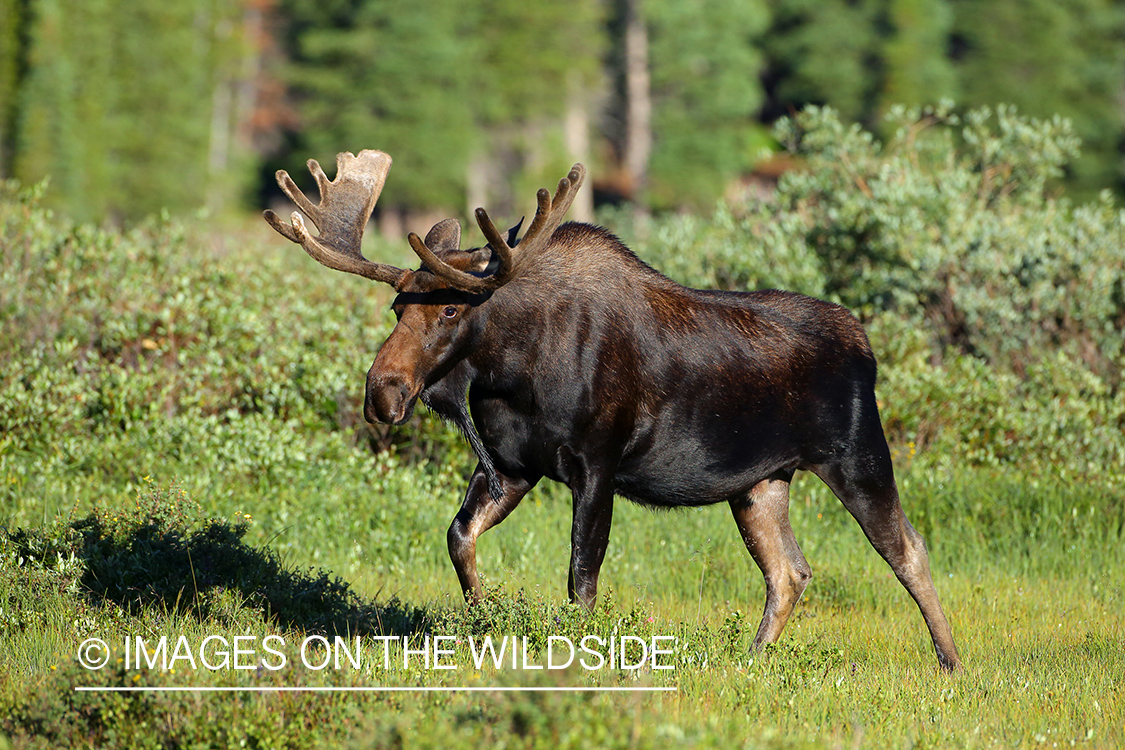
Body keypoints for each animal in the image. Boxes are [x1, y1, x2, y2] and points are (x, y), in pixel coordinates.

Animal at [261, 149, 958, 670]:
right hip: (760, 482)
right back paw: (750, 660)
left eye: (452, 308)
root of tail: (865, 344)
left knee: (909, 550)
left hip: (856, 455)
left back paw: (951, 662)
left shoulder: (596, 465)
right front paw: (483, 623)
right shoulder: (512, 466)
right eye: (396, 306)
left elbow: (582, 579)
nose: (383, 392)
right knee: (789, 572)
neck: (510, 373)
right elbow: (460, 538)